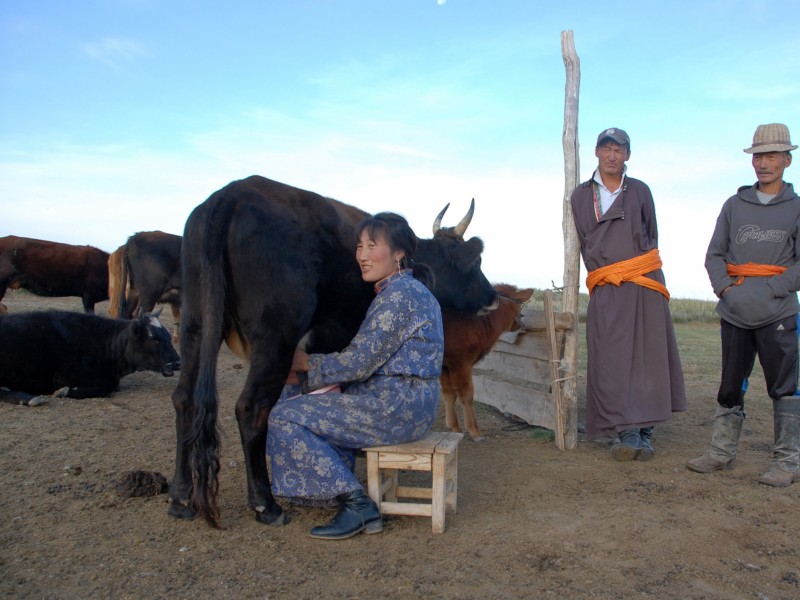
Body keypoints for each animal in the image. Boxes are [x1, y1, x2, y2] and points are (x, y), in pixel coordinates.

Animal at [0, 308, 180, 406]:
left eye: (168, 336)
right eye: (154, 339)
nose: (177, 362)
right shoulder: (66, 377)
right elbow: (102, 388)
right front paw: (63, 392)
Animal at [440, 284, 536, 442]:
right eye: (519, 307)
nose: (521, 323)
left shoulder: (445, 365)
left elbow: (449, 394)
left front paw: (453, 426)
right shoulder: (461, 362)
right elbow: (466, 395)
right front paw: (475, 432)